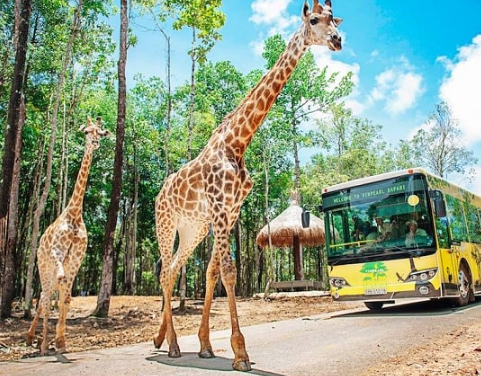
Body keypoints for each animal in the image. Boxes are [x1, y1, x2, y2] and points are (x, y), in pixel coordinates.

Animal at [26, 116, 109, 354]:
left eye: (101, 133)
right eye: (86, 132)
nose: (95, 143)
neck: (74, 215)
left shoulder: (77, 258)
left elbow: (67, 298)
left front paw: (61, 342)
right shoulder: (58, 252)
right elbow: (57, 293)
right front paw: (50, 343)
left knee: (47, 295)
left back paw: (36, 339)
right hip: (43, 265)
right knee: (44, 297)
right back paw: (38, 341)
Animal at [154, 0, 342, 370]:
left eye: (334, 19)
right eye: (314, 19)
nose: (337, 40)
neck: (237, 143)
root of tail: (158, 194)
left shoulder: (229, 212)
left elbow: (213, 271)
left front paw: (206, 345)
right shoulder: (218, 207)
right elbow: (229, 271)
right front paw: (240, 353)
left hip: (192, 229)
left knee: (174, 268)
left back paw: (163, 340)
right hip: (166, 224)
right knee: (166, 271)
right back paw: (171, 346)